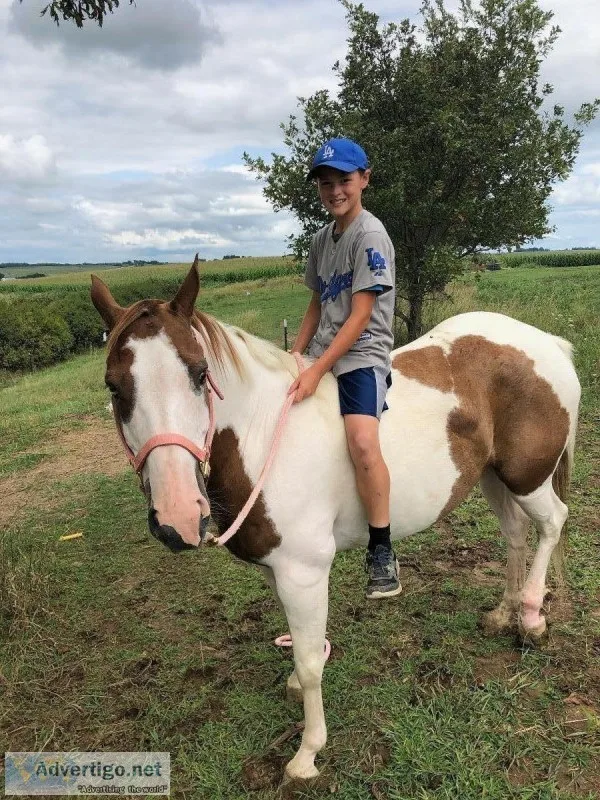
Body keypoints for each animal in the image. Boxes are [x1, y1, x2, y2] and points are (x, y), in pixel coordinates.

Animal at [90, 257, 580, 781]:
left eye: (200, 374)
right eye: (114, 386)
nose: (178, 515)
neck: (265, 433)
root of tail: (547, 342)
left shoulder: (303, 572)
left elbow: (309, 663)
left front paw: (308, 751)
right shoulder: (277, 570)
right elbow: (300, 647)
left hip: (528, 477)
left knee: (552, 523)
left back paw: (531, 616)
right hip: (493, 476)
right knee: (515, 532)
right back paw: (504, 612)